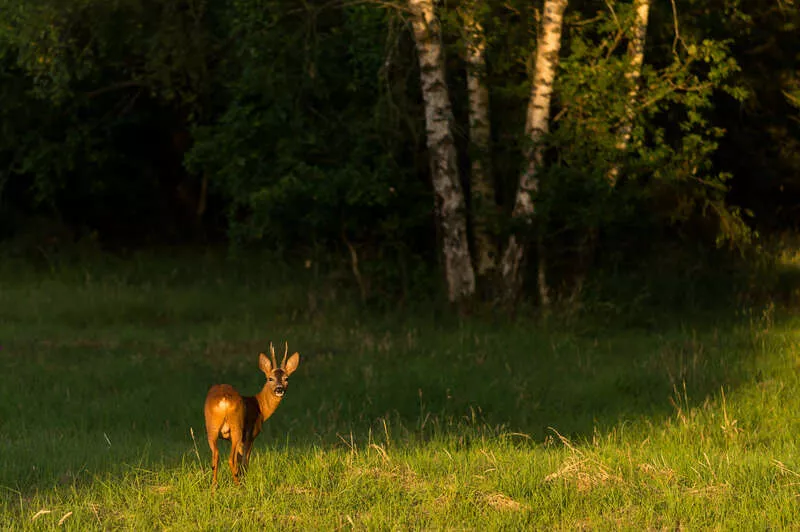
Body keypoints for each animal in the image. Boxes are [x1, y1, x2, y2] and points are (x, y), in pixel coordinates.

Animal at [203, 340, 300, 486]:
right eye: (270, 378)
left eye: (286, 378)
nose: (279, 389)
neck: (259, 406)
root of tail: (224, 399)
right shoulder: (250, 435)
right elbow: (245, 462)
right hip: (236, 428)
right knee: (230, 459)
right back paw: (237, 485)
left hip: (212, 428)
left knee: (215, 457)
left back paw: (214, 486)